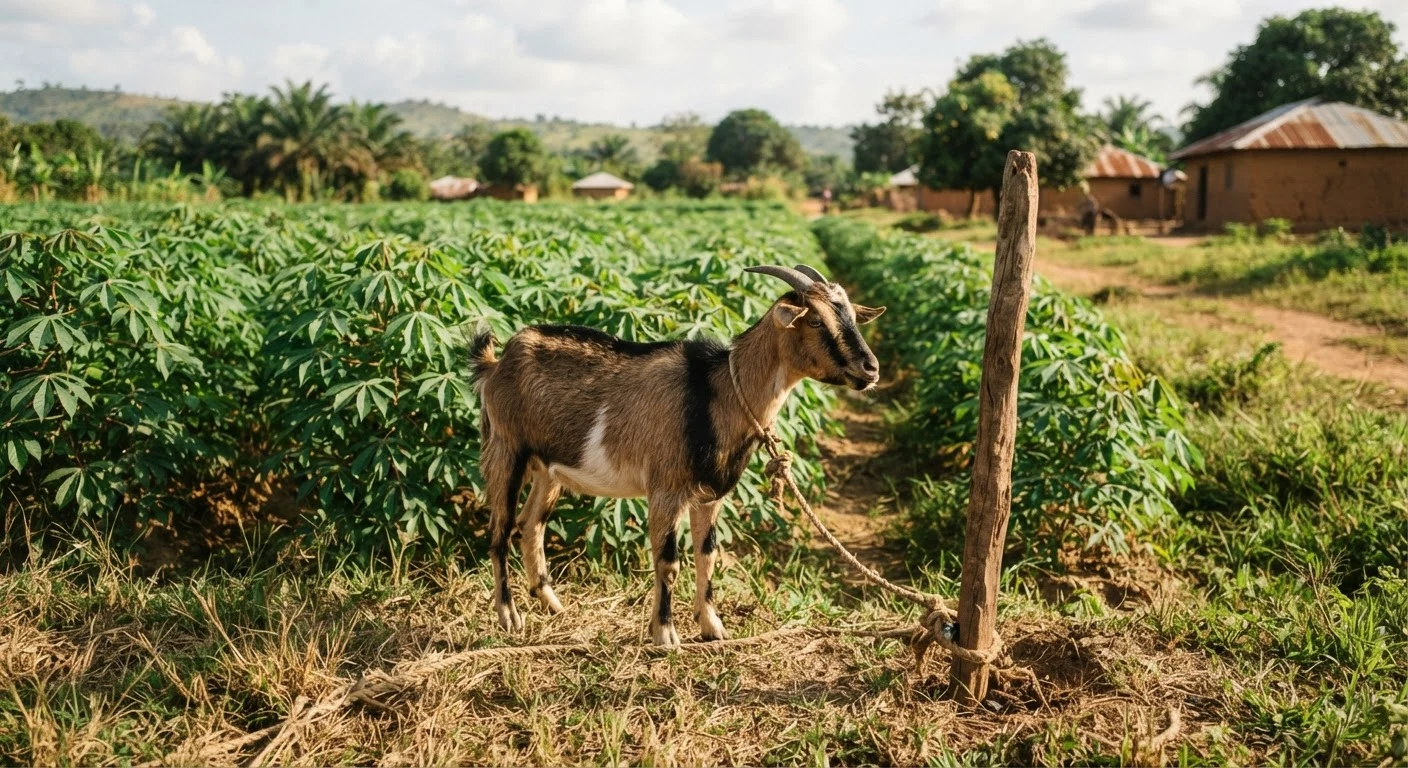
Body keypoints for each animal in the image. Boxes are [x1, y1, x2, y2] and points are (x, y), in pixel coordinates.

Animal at [469, 265, 884, 646]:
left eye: (850, 314)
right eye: (815, 319)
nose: (871, 368)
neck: (719, 392)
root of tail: (495, 365)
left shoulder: (711, 496)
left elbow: (707, 555)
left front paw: (713, 627)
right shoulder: (666, 490)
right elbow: (668, 561)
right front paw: (665, 634)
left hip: (549, 469)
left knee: (531, 525)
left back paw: (553, 605)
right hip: (505, 449)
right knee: (500, 530)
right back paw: (510, 616)